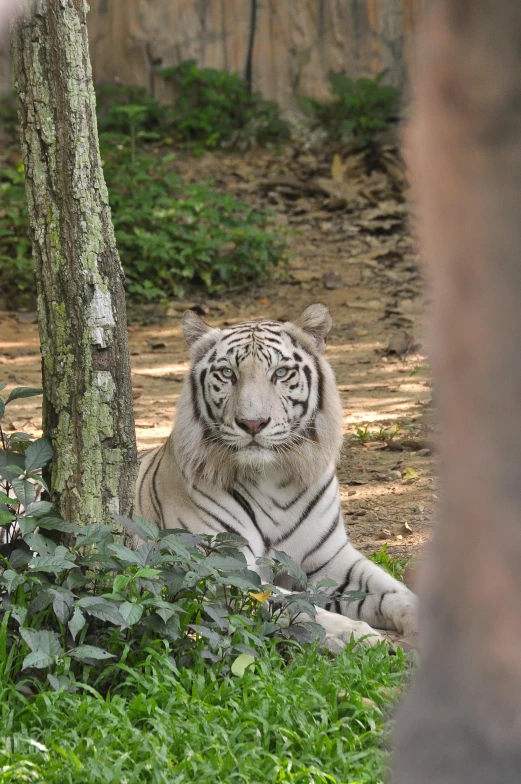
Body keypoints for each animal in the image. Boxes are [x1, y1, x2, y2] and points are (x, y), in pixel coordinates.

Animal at [136, 304, 416, 648]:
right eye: (227, 374)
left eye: (280, 373)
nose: (252, 423)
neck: (272, 477)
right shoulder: (218, 565)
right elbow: (296, 604)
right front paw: (355, 634)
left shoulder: (332, 559)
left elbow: (392, 590)